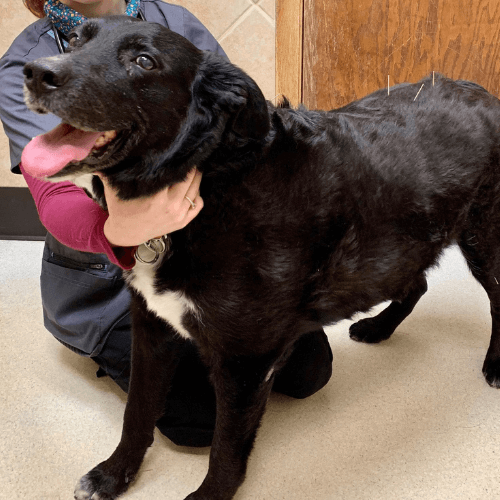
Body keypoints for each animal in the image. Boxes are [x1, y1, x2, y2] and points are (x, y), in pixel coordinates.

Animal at [22, 15, 500, 500]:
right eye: (74, 39)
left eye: (143, 61)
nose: (36, 72)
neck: (211, 181)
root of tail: (483, 92)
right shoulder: (152, 328)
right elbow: (137, 412)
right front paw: (113, 475)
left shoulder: (247, 362)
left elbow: (226, 448)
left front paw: (207, 496)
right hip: (398, 244)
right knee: (417, 281)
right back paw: (379, 327)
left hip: (484, 244)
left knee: (495, 301)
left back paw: (493, 364)